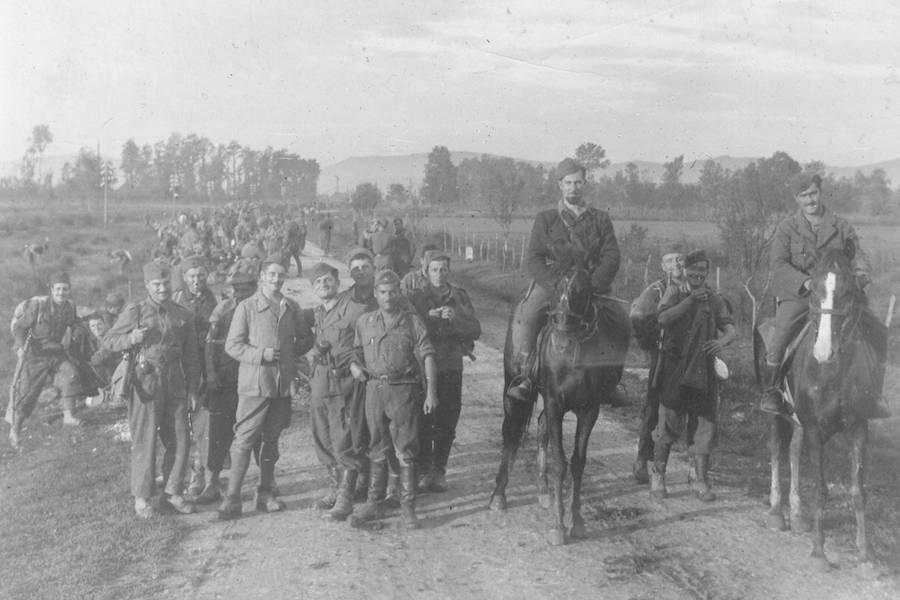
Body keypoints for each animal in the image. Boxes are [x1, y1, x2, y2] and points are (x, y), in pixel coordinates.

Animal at [489, 266, 630, 545]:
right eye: (555, 287)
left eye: (583, 291)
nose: (561, 343)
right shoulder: (556, 405)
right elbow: (560, 463)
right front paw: (558, 526)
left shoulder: (589, 411)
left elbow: (578, 463)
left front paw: (577, 521)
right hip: (513, 389)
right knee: (511, 434)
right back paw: (499, 496)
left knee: (541, 426)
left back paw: (544, 491)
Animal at [760, 245, 886, 570]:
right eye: (813, 291)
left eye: (848, 292)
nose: (823, 352)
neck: (833, 371)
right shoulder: (816, 430)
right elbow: (819, 488)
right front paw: (819, 551)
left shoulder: (858, 428)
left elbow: (858, 490)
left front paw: (865, 552)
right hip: (777, 415)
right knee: (776, 451)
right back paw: (777, 513)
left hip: (798, 421)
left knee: (792, 452)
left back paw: (797, 515)